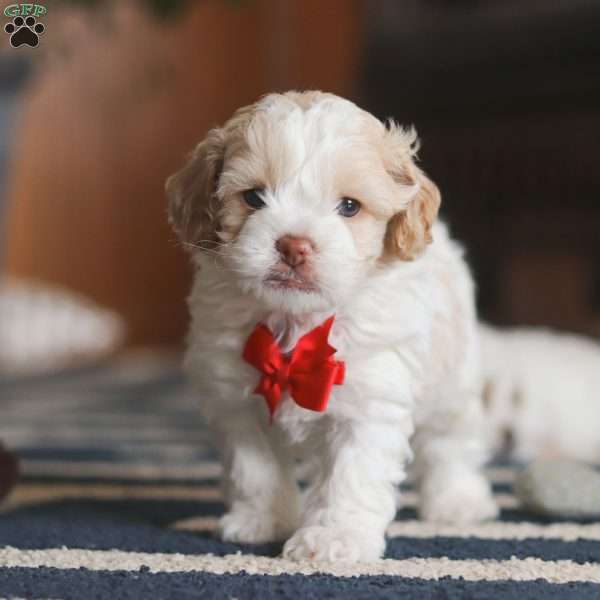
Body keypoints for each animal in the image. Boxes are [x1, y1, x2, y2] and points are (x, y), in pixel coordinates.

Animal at [166, 90, 494, 564]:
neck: (298, 324)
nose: (293, 246)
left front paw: (333, 538)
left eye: (350, 206)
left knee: (449, 442)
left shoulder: (369, 403)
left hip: (453, 379)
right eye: (253, 197)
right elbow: (256, 471)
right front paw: (261, 521)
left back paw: (457, 500)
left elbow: (350, 477)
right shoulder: (238, 400)